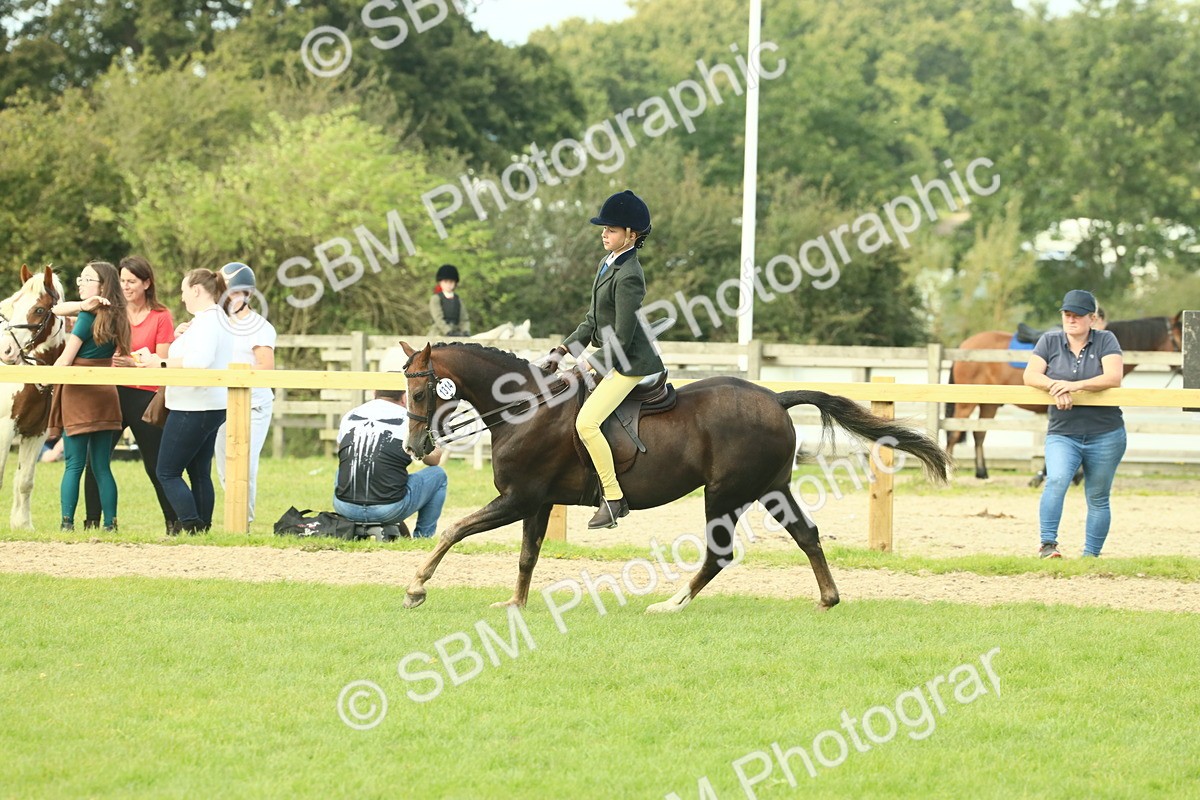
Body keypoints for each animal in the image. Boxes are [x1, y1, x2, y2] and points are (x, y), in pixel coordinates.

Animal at [0, 265, 68, 529]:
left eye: (39, 309)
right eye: (15, 304)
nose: (7, 351)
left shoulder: (37, 431)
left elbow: (25, 480)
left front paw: (22, 524)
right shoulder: (5, 429)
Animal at [396, 342, 951, 613]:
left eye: (420, 393)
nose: (415, 448)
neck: (526, 408)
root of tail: (775, 397)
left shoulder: (518, 498)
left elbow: (453, 530)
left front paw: (417, 587)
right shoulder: (537, 502)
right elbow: (527, 557)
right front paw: (514, 603)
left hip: (724, 494)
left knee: (719, 554)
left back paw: (672, 603)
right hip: (771, 488)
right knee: (807, 534)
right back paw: (828, 599)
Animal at [946, 313, 1183, 480]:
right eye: (1180, 341)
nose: (1182, 368)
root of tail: (964, 345)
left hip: (989, 404)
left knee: (979, 434)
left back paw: (982, 472)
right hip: (966, 404)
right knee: (954, 433)